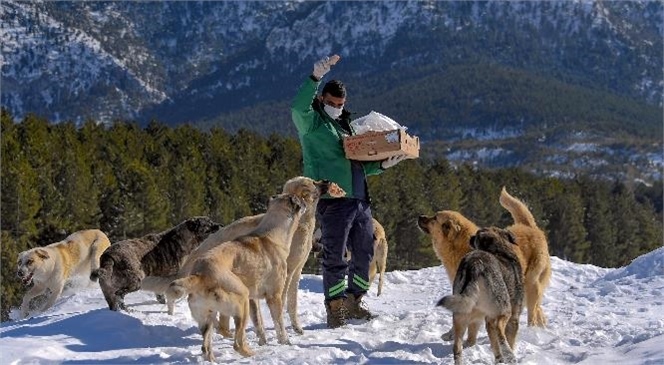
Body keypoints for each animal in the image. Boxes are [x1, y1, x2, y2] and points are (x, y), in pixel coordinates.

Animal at [91, 216, 219, 310]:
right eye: (208, 223)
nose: (220, 225)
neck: (185, 239)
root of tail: (109, 255)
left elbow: (159, 293)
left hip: (107, 289)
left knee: (114, 301)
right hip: (136, 280)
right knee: (119, 294)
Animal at [169, 193, 308, 358]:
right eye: (298, 198)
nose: (305, 201)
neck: (272, 235)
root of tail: (200, 274)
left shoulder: (253, 299)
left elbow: (259, 322)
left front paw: (264, 341)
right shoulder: (274, 296)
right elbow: (279, 324)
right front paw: (285, 342)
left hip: (209, 316)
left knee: (207, 347)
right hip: (242, 301)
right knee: (237, 343)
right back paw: (251, 354)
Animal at [418, 186, 552, 342]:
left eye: (434, 218)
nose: (420, 216)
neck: (461, 247)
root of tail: (528, 226)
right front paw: (452, 334)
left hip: (530, 284)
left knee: (532, 313)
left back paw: (532, 332)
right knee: (538, 309)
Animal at [438, 226, 528, 362]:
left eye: (476, 235)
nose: (470, 237)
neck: (500, 249)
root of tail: (474, 264)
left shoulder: (486, 319)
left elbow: (494, 346)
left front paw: (499, 360)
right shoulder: (513, 318)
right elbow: (507, 339)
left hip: (461, 313)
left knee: (457, 348)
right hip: (504, 308)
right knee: (500, 330)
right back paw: (509, 354)